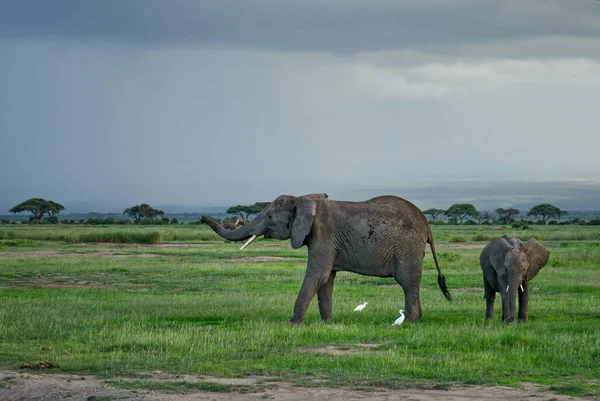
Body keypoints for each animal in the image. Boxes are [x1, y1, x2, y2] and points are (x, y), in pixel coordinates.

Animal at [202, 193, 450, 324]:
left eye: (270, 217)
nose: (203, 217)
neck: (303, 200)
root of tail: (426, 222)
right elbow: (326, 279)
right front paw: (326, 323)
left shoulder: (323, 235)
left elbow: (317, 275)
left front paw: (293, 324)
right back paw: (417, 319)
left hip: (408, 246)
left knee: (408, 282)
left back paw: (410, 321)